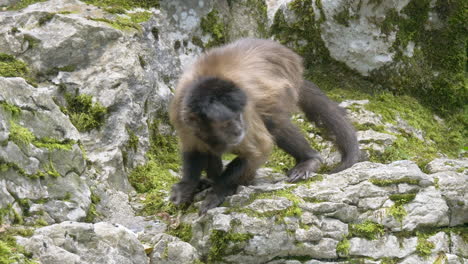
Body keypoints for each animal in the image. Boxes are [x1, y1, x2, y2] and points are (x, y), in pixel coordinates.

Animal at [170, 37, 360, 214]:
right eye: (227, 123)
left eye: (238, 116)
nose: (239, 129)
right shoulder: (181, 113)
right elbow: (193, 149)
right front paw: (188, 185)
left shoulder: (247, 110)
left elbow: (259, 150)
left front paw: (218, 191)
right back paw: (213, 179)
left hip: (287, 82)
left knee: (275, 122)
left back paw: (308, 159)